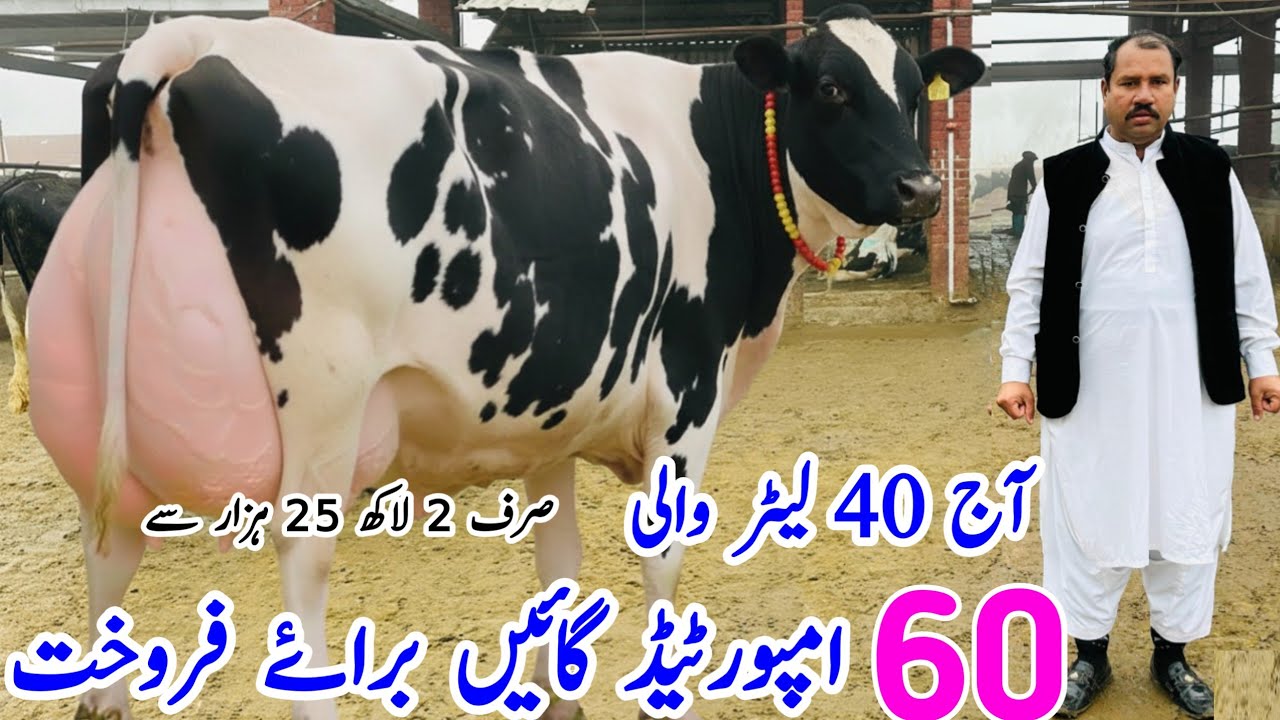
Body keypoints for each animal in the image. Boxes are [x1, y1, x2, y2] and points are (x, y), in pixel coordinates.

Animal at [26, 5, 984, 718]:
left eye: (912, 90)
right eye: (832, 88)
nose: (922, 188)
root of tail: (189, 39)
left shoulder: (552, 409)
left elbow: (559, 563)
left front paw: (561, 699)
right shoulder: (686, 393)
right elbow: (661, 560)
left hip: (104, 434)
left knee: (107, 557)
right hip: (324, 411)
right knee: (302, 576)